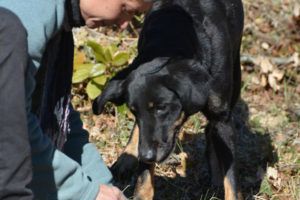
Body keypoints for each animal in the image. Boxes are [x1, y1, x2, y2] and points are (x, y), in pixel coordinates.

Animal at [93, 0, 244, 199]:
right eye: (133, 111)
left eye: (162, 107)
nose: (146, 155)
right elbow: (144, 176)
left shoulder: (222, 118)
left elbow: (232, 181)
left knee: (211, 131)